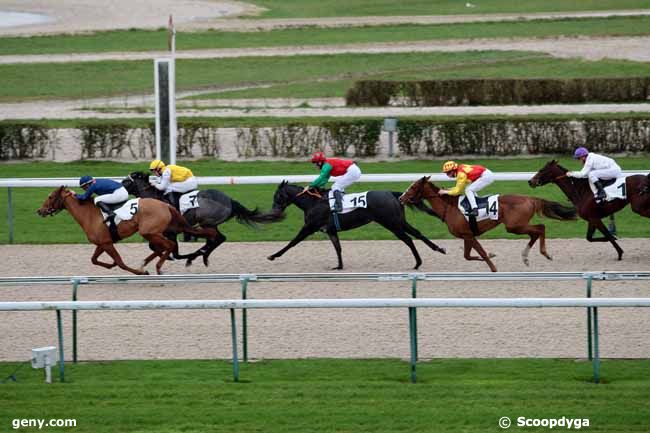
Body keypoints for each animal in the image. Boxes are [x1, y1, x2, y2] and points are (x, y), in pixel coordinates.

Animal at [36, 186, 216, 274]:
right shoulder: (103, 243)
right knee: (163, 247)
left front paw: (139, 272)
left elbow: (121, 263)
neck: (89, 214)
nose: (39, 211)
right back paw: (149, 263)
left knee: (169, 245)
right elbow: (94, 259)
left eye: (50, 197)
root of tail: (165, 205)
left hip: (149, 232)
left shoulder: (107, 243)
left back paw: (157, 266)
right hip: (154, 232)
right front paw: (111, 265)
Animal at [123, 170, 280, 264]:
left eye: (126, 181)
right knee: (217, 239)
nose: (119, 187)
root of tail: (230, 200)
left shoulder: (171, 232)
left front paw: (177, 257)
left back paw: (199, 255)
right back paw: (202, 254)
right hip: (211, 224)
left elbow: (174, 252)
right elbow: (155, 247)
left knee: (216, 238)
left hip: (207, 222)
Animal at [266, 181, 442, 268]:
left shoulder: (309, 227)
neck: (312, 202)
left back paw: (417, 263)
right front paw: (339, 266)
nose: (274, 211)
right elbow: (338, 247)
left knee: (408, 239)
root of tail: (393, 194)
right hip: (399, 221)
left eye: (277, 195)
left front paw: (273, 255)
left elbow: (292, 242)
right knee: (417, 233)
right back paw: (438, 249)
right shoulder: (330, 230)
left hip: (391, 223)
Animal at [398, 177, 576, 272]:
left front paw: (493, 268)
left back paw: (545, 253)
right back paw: (526, 257)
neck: (450, 207)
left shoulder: (468, 235)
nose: (401, 198)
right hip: (516, 226)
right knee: (536, 232)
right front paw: (492, 255)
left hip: (514, 226)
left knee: (540, 228)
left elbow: (480, 253)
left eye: (413, 186)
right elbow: (468, 256)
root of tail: (531, 198)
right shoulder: (467, 235)